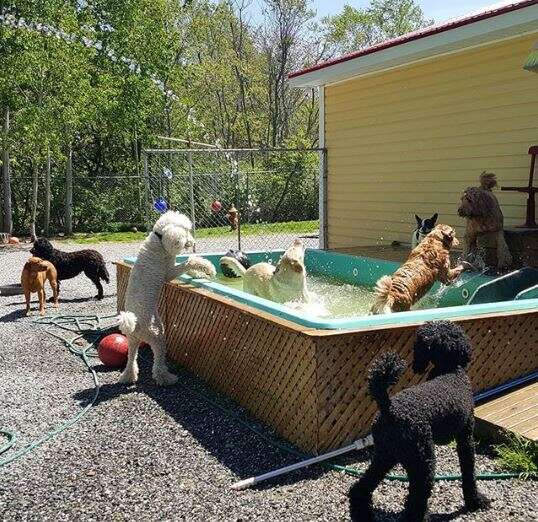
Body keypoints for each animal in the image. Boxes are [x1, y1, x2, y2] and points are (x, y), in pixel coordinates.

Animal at [118, 209, 215, 384]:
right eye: (186, 231)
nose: (192, 241)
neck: (159, 241)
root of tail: (134, 324)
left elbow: (188, 266)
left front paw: (198, 274)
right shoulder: (168, 273)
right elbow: (189, 262)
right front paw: (207, 268)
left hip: (132, 340)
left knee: (131, 359)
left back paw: (128, 376)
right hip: (158, 335)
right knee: (158, 363)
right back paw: (167, 378)